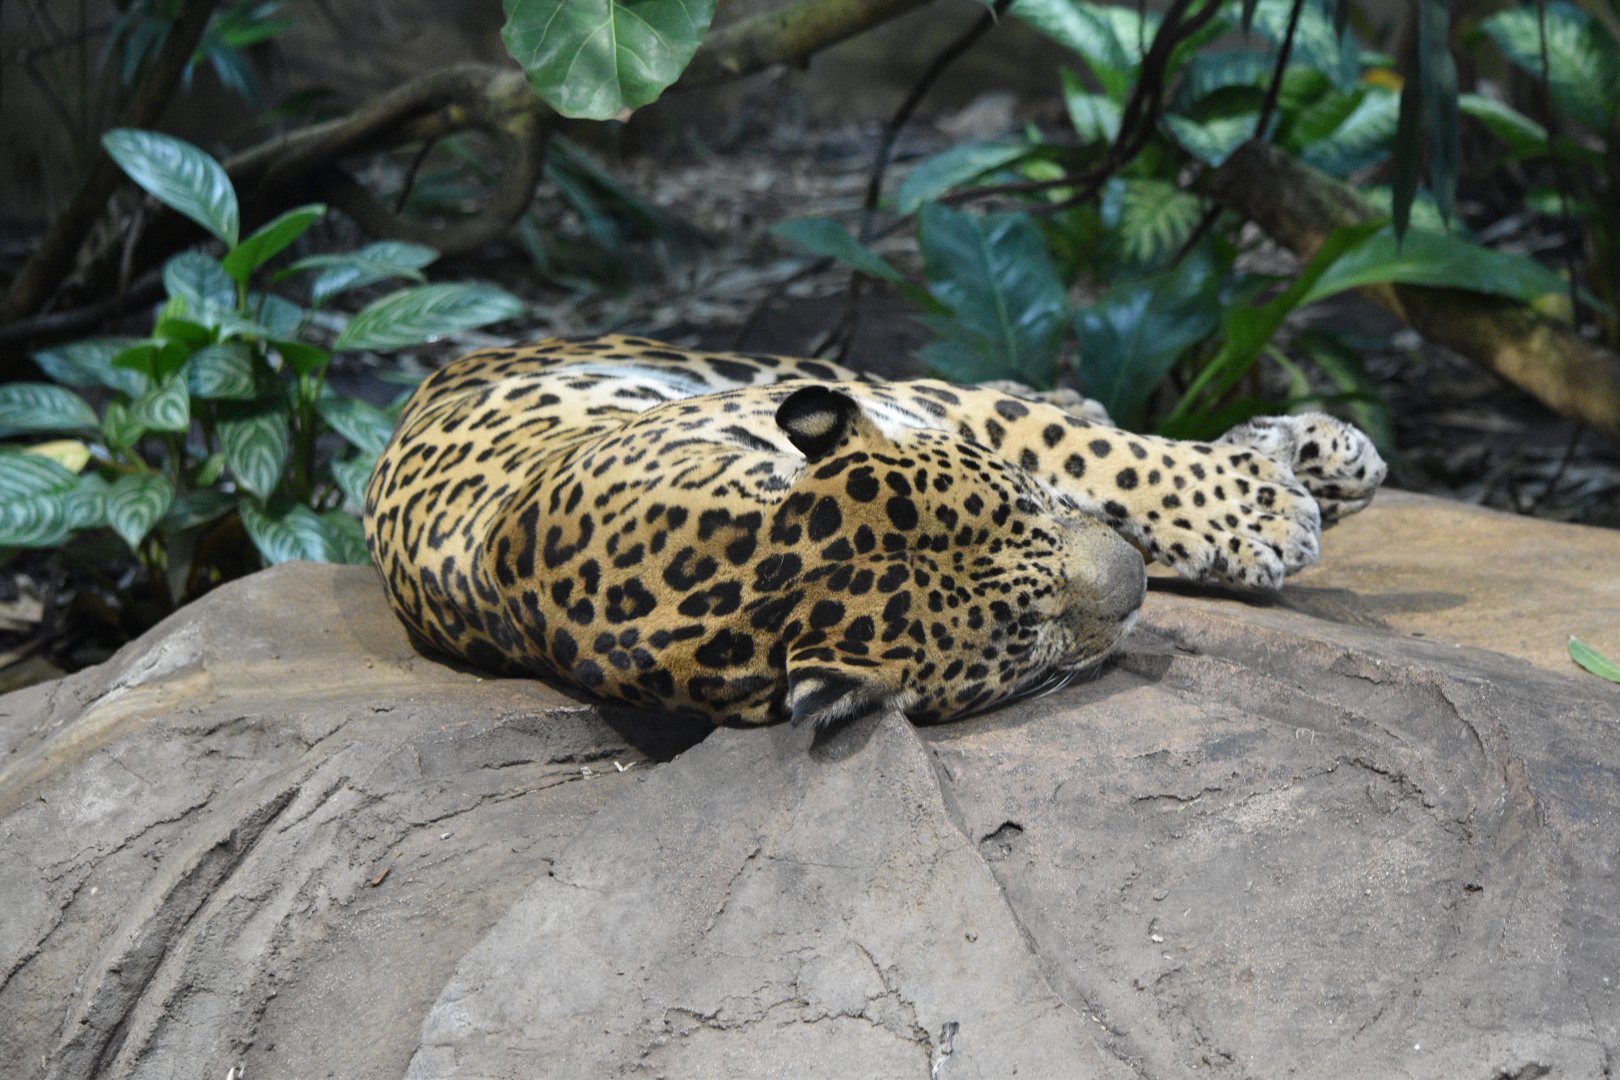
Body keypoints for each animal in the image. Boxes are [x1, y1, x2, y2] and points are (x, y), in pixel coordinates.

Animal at [364, 334, 1385, 729]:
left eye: (1022, 498)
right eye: (1033, 637)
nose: (1132, 579)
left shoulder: (926, 406)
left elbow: (1090, 452)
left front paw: (1264, 500)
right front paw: (1267, 505)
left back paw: (1319, 452)